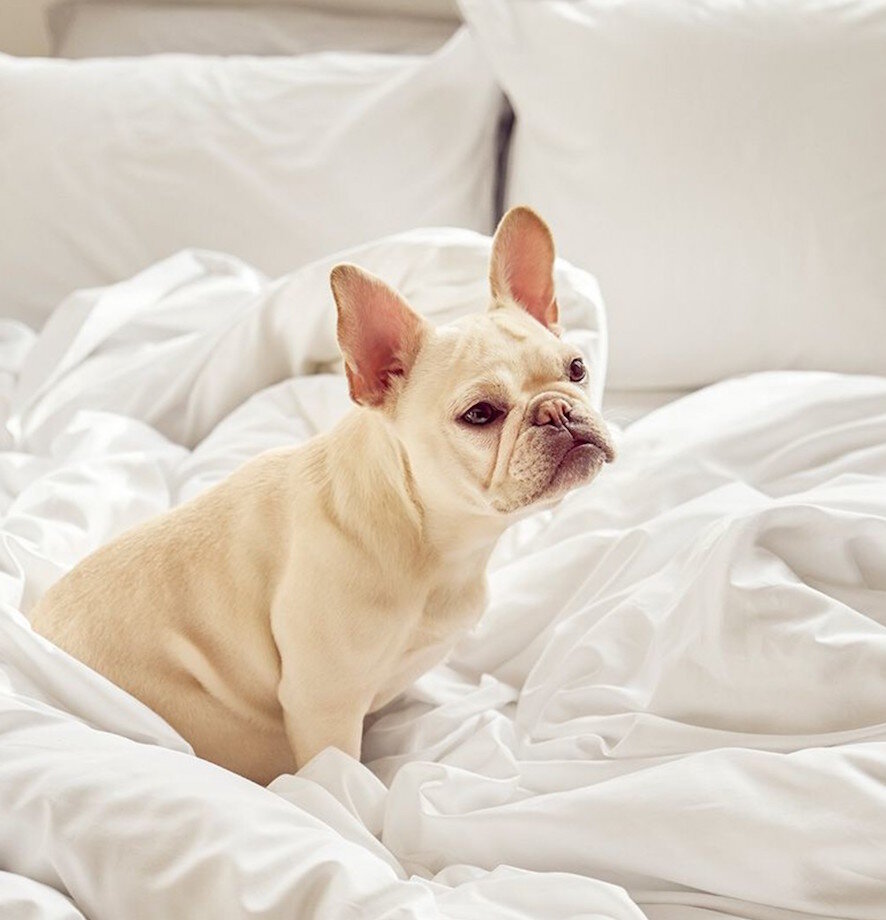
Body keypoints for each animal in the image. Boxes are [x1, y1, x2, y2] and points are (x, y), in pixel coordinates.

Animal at [31, 207, 615, 785]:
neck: (426, 535)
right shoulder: (323, 703)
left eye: (577, 369)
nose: (557, 410)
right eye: (480, 414)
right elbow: (342, 779)